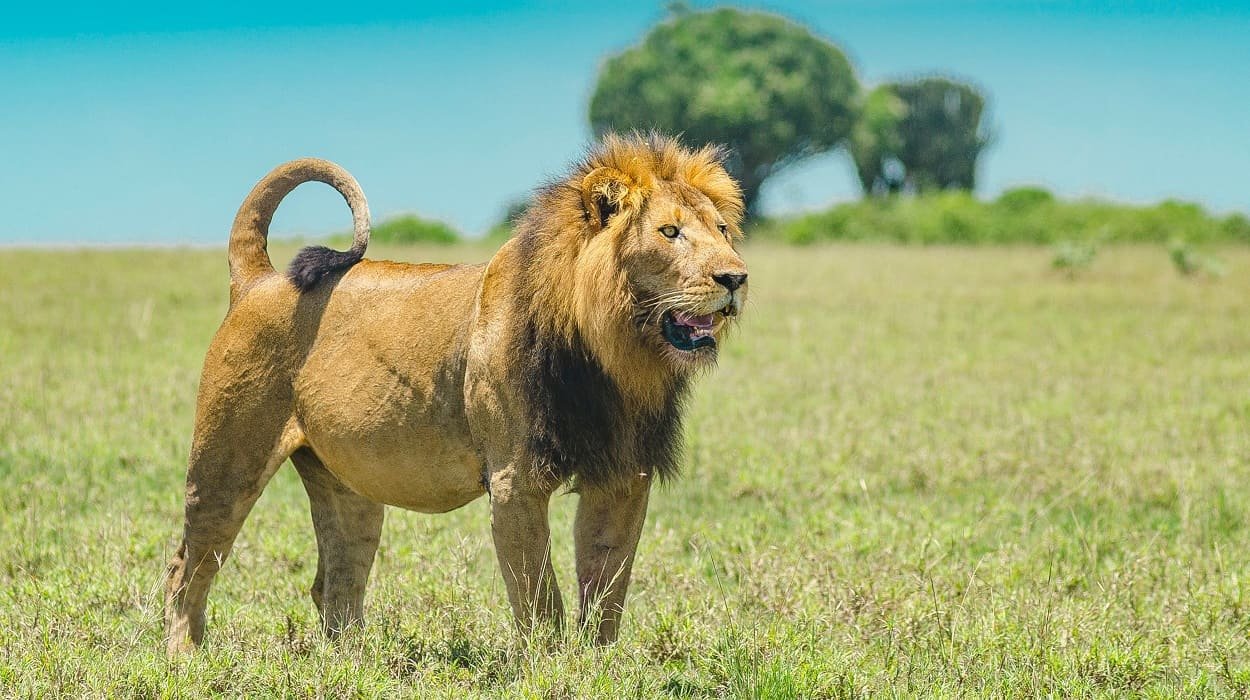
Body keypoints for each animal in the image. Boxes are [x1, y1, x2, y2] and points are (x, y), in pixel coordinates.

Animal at [163, 133, 748, 655]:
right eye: (669, 232)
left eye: (722, 230)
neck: (613, 354)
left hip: (347, 484)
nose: (736, 278)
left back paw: (356, 664)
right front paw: (550, 667)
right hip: (227, 461)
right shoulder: (515, 481)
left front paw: (597, 666)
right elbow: (540, 598)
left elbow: (606, 588)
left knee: (335, 582)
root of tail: (260, 279)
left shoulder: (624, 476)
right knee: (187, 568)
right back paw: (184, 657)